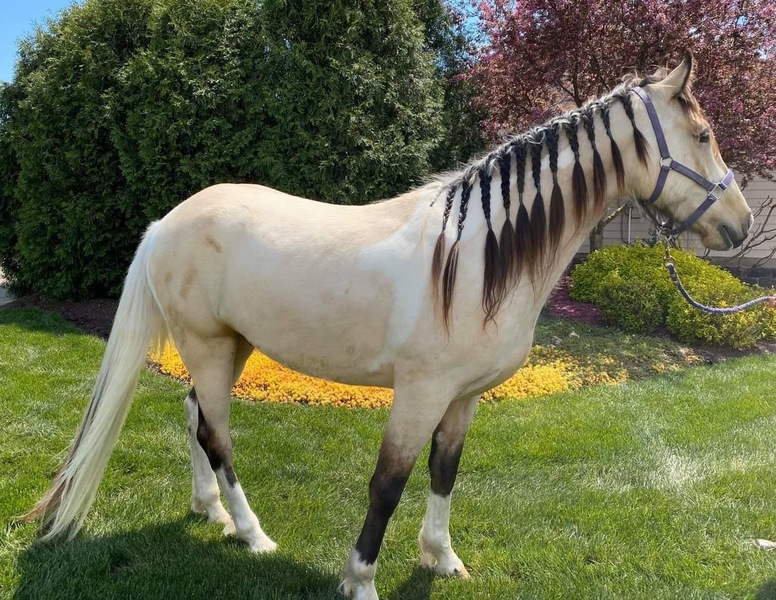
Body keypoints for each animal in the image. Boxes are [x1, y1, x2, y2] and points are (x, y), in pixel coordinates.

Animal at [24, 52, 752, 600]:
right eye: (704, 136)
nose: (741, 225)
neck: (476, 256)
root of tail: (166, 223)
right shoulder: (420, 393)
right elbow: (389, 483)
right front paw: (360, 579)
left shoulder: (463, 397)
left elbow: (444, 471)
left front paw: (440, 557)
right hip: (205, 345)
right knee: (216, 433)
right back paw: (253, 533)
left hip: (230, 346)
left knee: (193, 416)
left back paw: (211, 511)